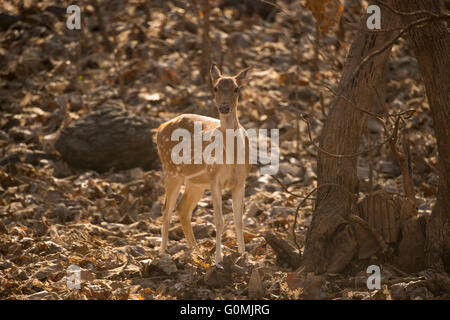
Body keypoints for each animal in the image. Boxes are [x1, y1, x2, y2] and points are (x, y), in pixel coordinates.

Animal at [156, 63, 251, 264]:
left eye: (236, 89)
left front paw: (244, 256)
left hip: (196, 182)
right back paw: (162, 253)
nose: (224, 107)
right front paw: (218, 259)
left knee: (182, 208)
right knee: (166, 209)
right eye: (215, 88)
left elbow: (239, 220)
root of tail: (159, 129)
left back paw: (196, 251)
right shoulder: (215, 179)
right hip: (170, 170)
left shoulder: (240, 181)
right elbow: (219, 221)